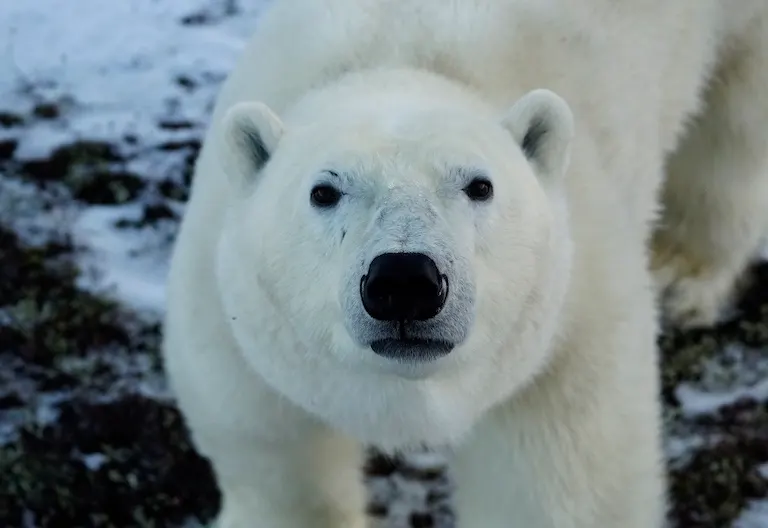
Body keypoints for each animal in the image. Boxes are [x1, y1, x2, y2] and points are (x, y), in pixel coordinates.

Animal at [161, 0, 768, 526]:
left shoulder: (570, 319)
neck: (397, 59)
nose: (404, 282)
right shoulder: (227, 299)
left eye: (480, 185)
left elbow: (560, 480)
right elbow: (261, 430)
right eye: (324, 191)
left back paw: (681, 272)